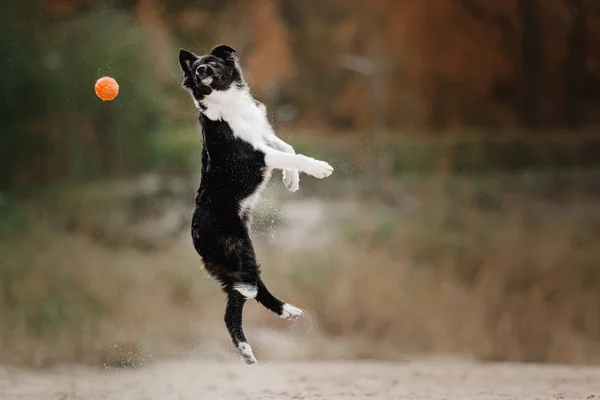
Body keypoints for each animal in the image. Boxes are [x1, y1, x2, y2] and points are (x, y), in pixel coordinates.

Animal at [176, 45, 336, 364]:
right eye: (197, 68)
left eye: (211, 63)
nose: (201, 70)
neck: (226, 101)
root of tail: (194, 234)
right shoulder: (252, 155)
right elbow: (294, 155)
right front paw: (319, 168)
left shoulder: (265, 136)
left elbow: (288, 148)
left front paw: (291, 180)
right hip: (239, 257)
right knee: (234, 309)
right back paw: (247, 348)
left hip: (240, 261)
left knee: (248, 294)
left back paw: (286, 313)